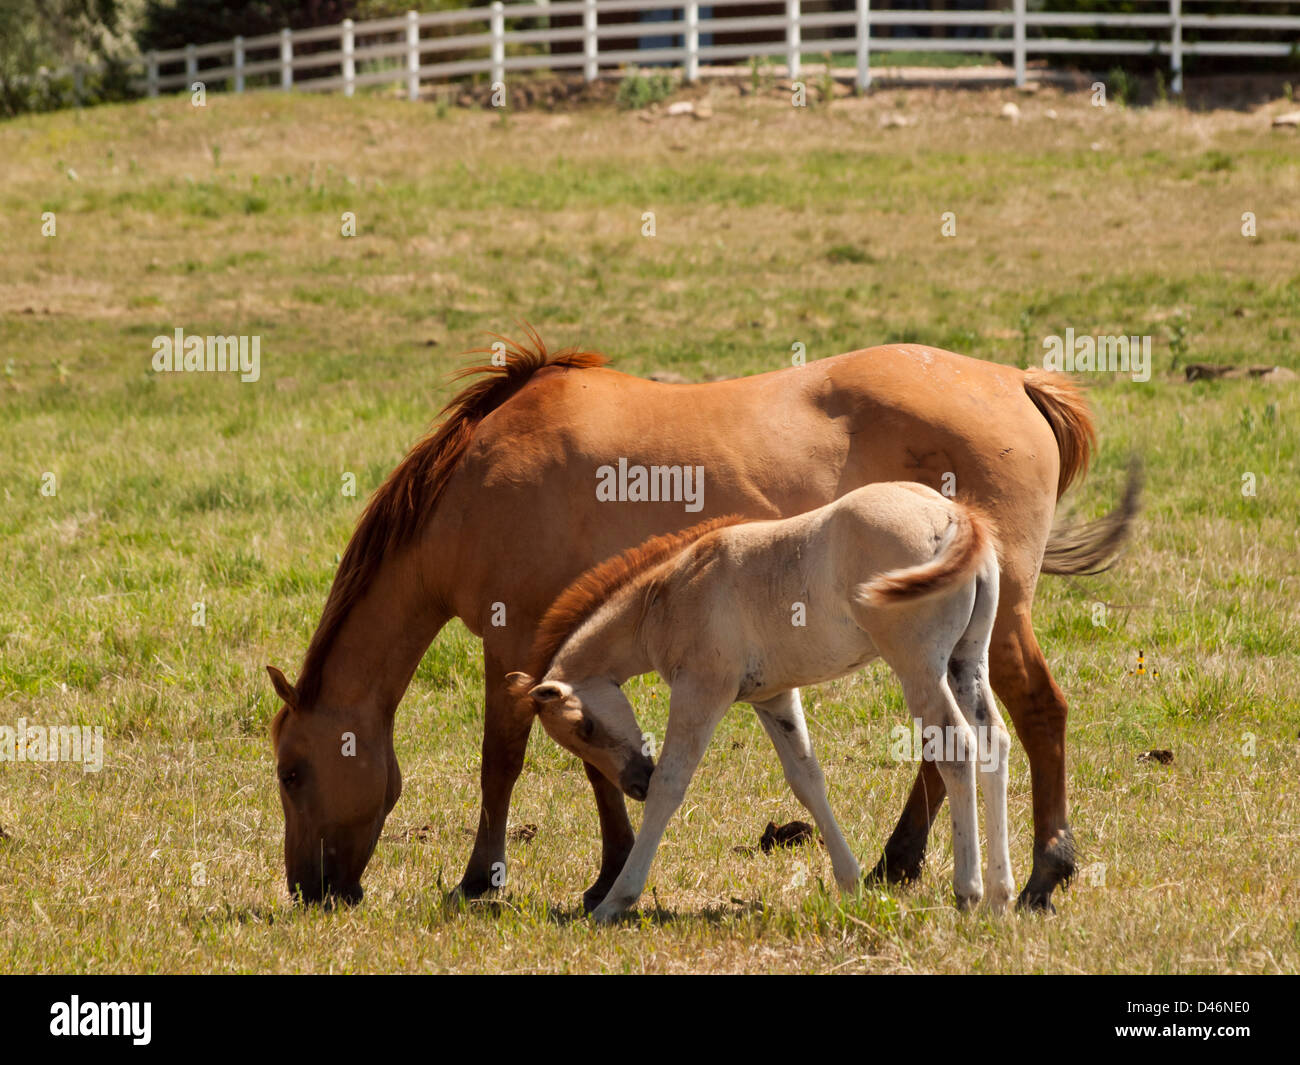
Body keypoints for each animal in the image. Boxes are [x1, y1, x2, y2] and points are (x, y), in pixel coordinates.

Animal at [508, 482, 1014, 921]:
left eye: (585, 727)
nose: (635, 782)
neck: (666, 594)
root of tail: (955, 516)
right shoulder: (774, 697)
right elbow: (807, 780)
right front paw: (851, 884)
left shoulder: (701, 690)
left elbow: (671, 784)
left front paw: (615, 902)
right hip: (965, 661)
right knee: (995, 741)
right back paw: (1000, 894)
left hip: (917, 667)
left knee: (957, 747)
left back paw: (968, 892)